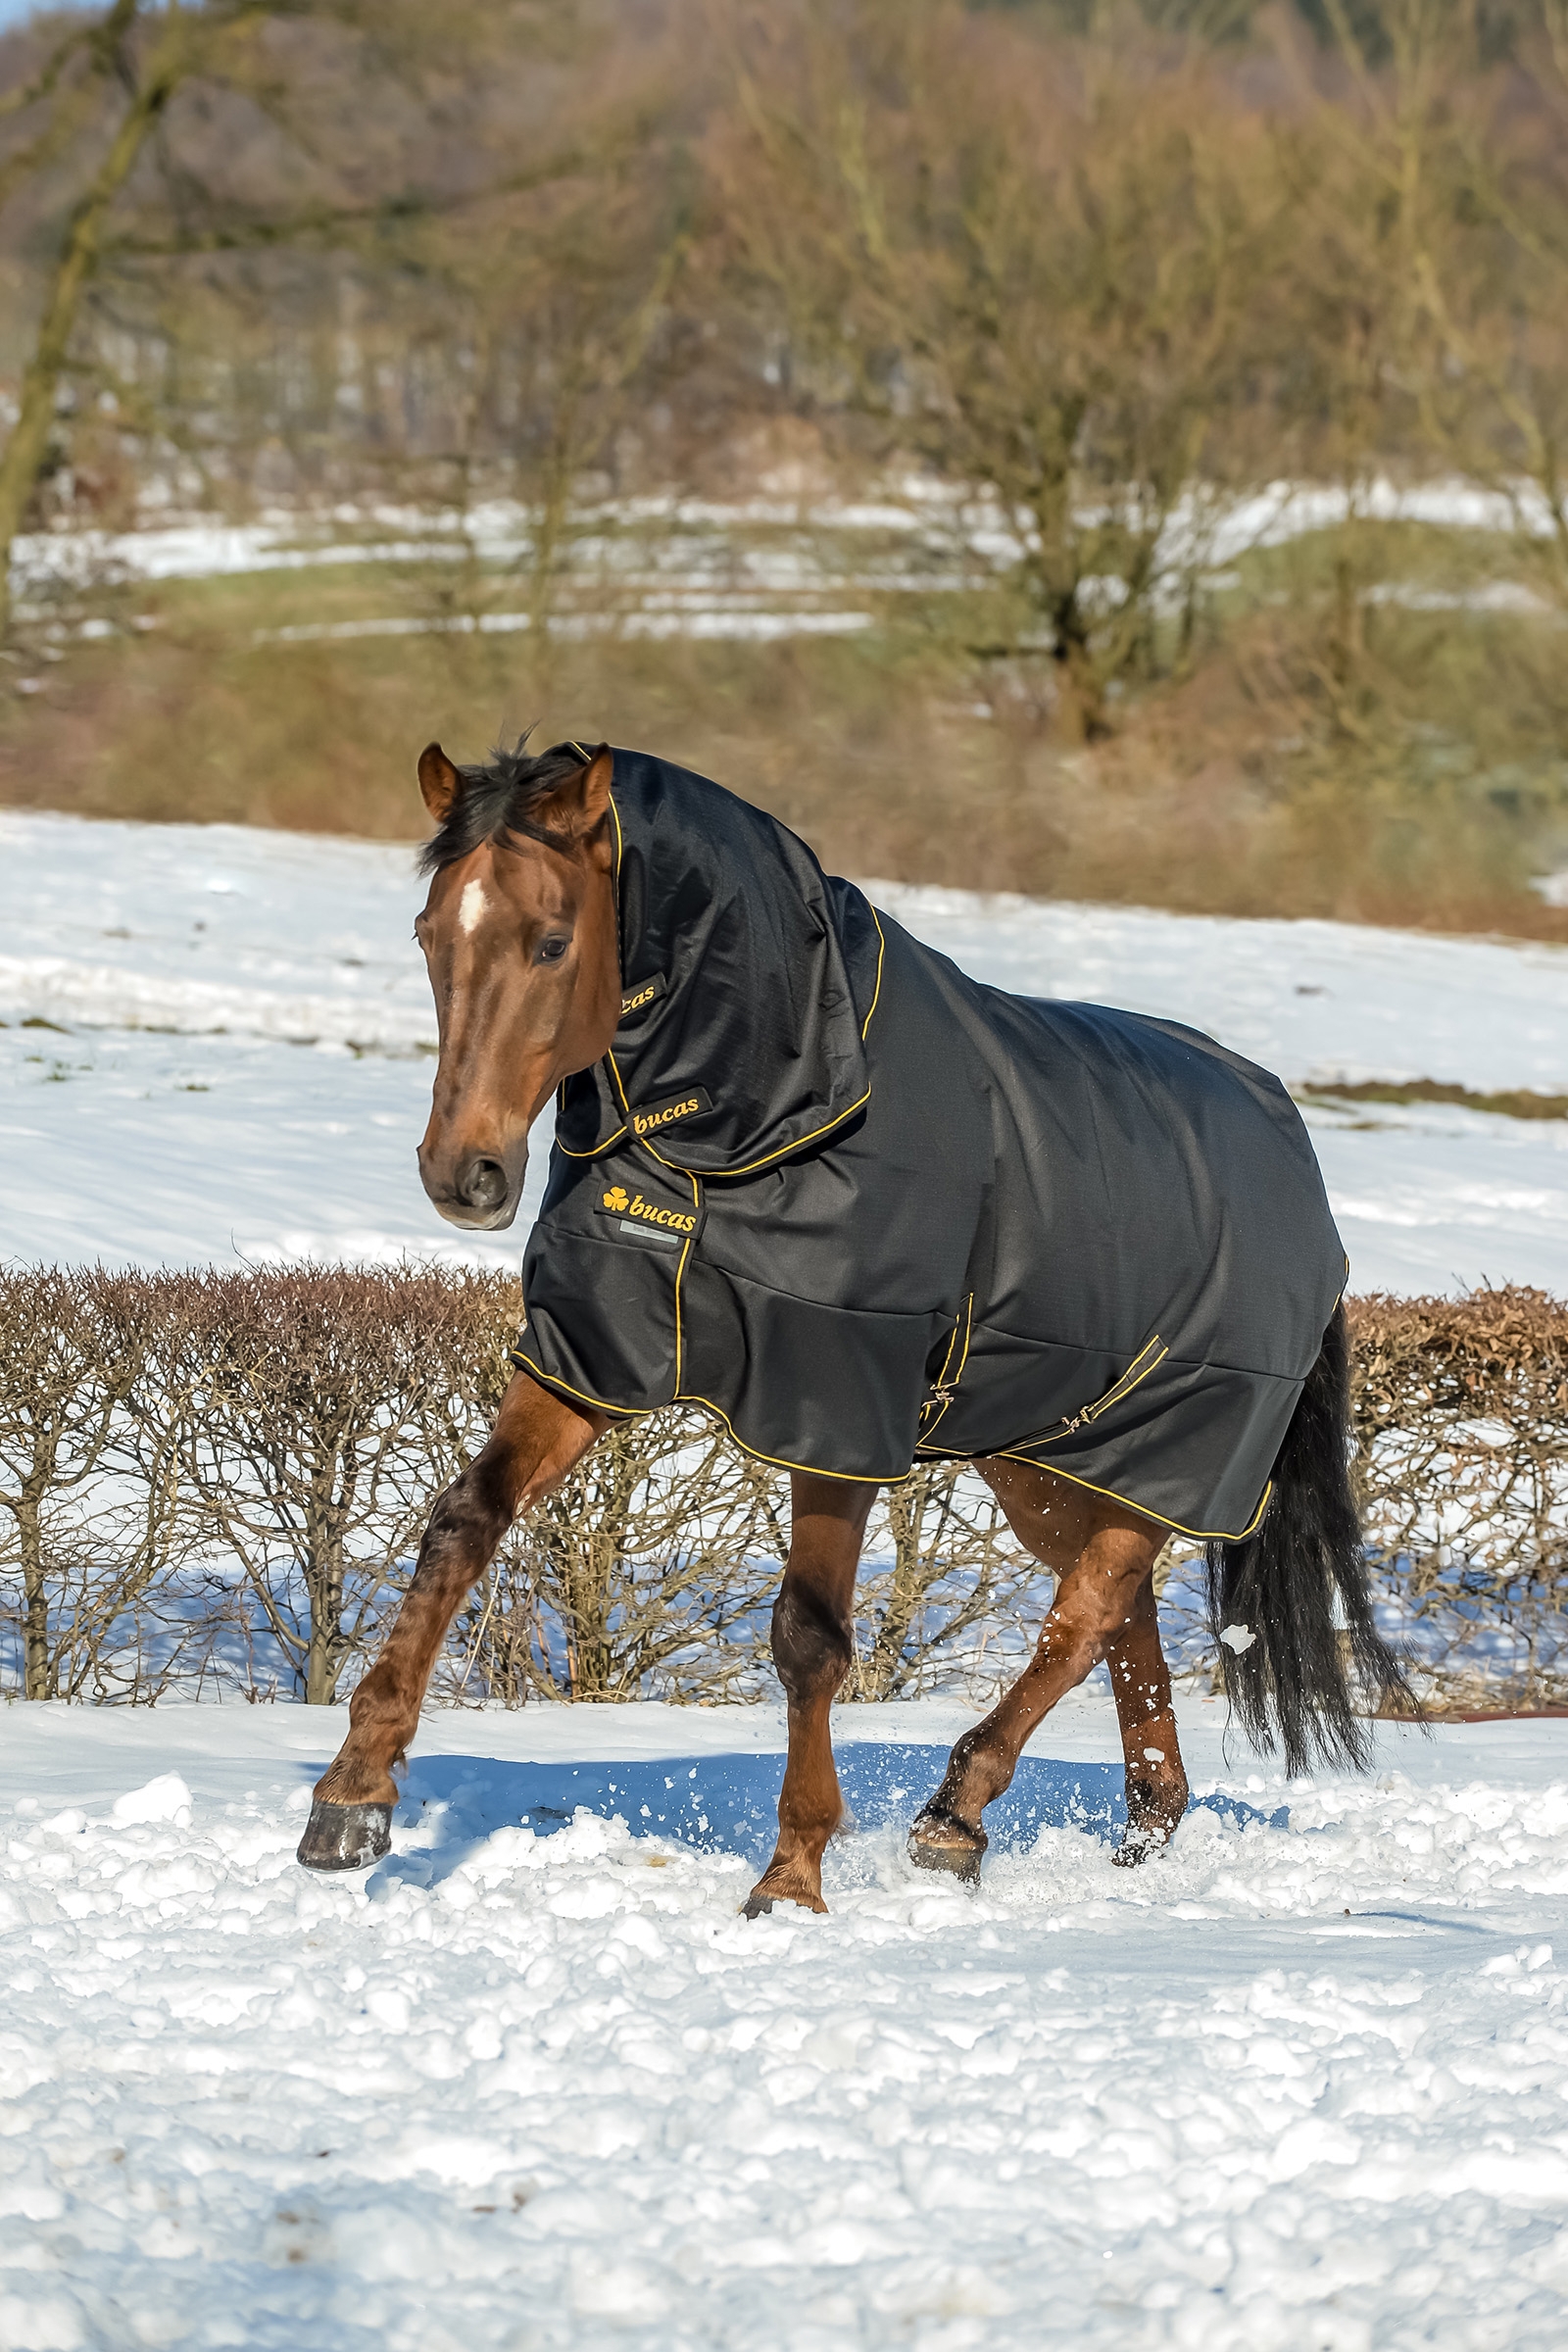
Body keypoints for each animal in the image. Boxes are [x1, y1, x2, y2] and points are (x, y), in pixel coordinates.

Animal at [297, 737, 1404, 1910]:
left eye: (552, 940)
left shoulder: (833, 1403)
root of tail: (1301, 1170)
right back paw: (1134, 1818)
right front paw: (352, 1801)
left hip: (1175, 1447)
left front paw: (791, 1877)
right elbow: (464, 1521)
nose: (463, 1174)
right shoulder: (589, 1356)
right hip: (1050, 1460)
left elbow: (809, 1638)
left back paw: (955, 1813)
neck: (751, 1117)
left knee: (1087, 1613)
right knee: (1117, 1613)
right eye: (429, 933)